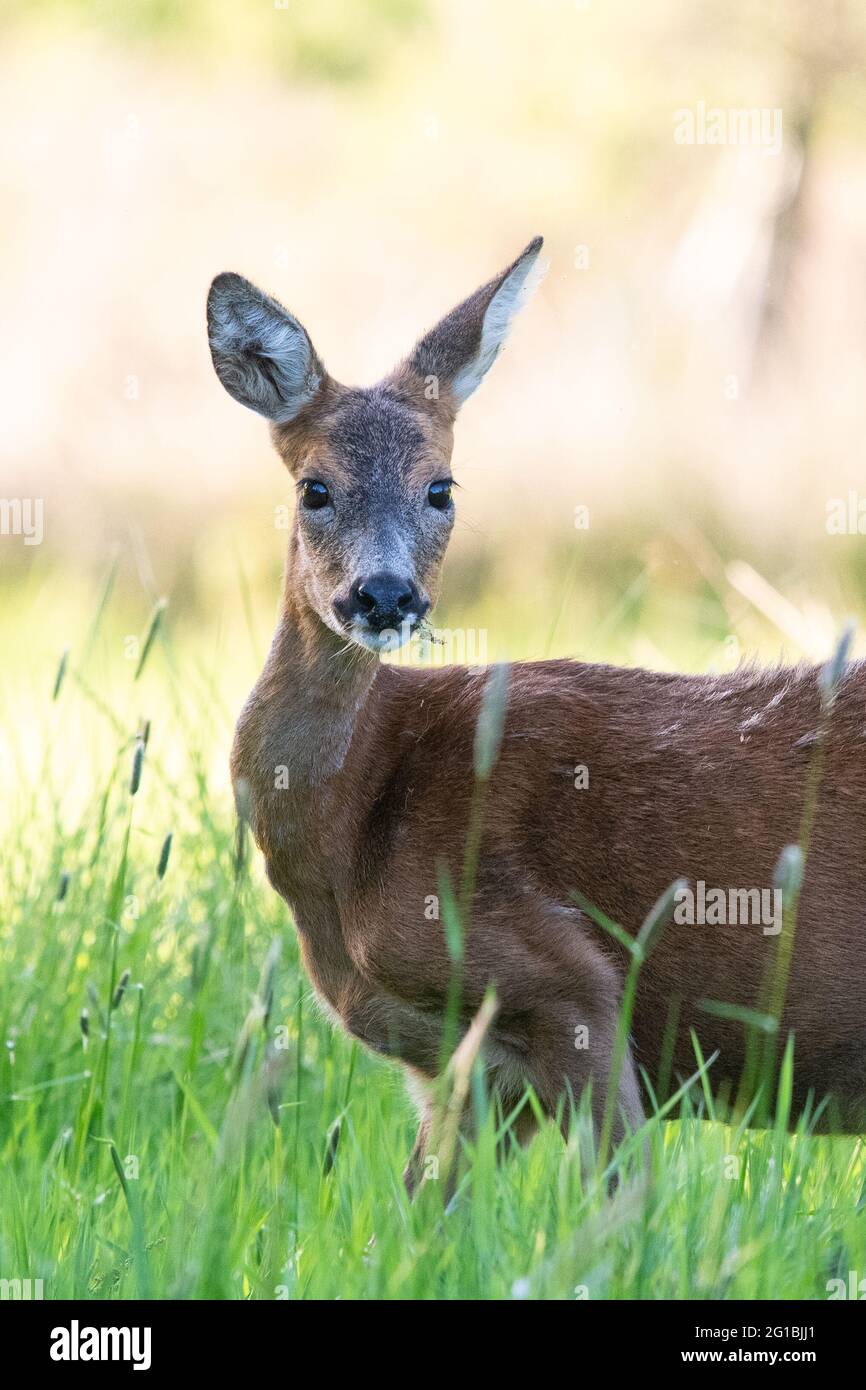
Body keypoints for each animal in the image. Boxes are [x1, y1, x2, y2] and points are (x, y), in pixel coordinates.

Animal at [207, 239, 866, 1195]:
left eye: (442, 489)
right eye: (314, 490)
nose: (384, 595)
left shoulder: (571, 981)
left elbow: (626, 1200)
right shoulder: (468, 1069)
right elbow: (419, 1210)